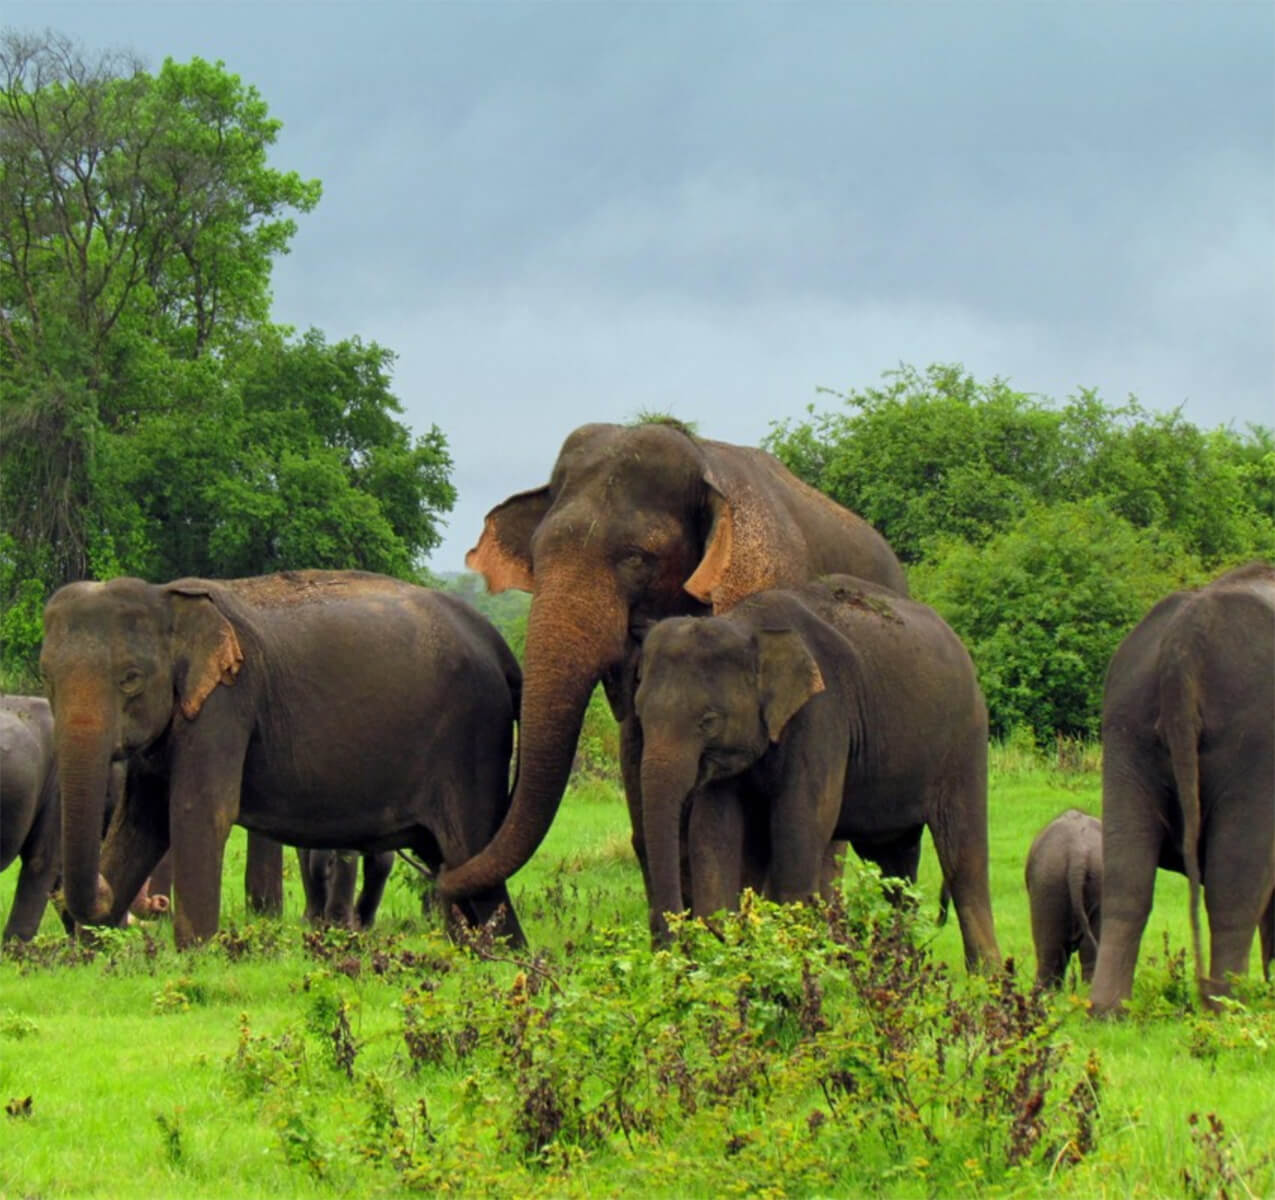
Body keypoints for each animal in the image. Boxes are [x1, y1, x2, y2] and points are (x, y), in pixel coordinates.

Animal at [39, 566, 525, 948]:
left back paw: (506, 954)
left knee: (471, 851)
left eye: (131, 679)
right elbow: (142, 822)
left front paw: (195, 956)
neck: (167, 597)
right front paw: (89, 954)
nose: (98, 893)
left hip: (471, 742)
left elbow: (200, 811)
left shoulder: (227, 701)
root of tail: (498, 642)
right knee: (450, 860)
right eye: (46, 676)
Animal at [632, 571, 999, 974]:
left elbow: (800, 825)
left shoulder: (822, 715)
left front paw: (791, 961)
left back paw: (985, 977)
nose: (673, 954)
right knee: (893, 863)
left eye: (708, 720)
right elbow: (714, 832)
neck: (747, 624)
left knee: (964, 857)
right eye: (640, 713)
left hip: (965, 740)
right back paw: (897, 968)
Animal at [1086, 561, 1275, 1009]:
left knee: (1126, 875)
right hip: (1255, 733)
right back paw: (1227, 1006)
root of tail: (1183, 643)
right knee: (1235, 879)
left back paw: (1107, 1010)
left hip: (1125, 724)